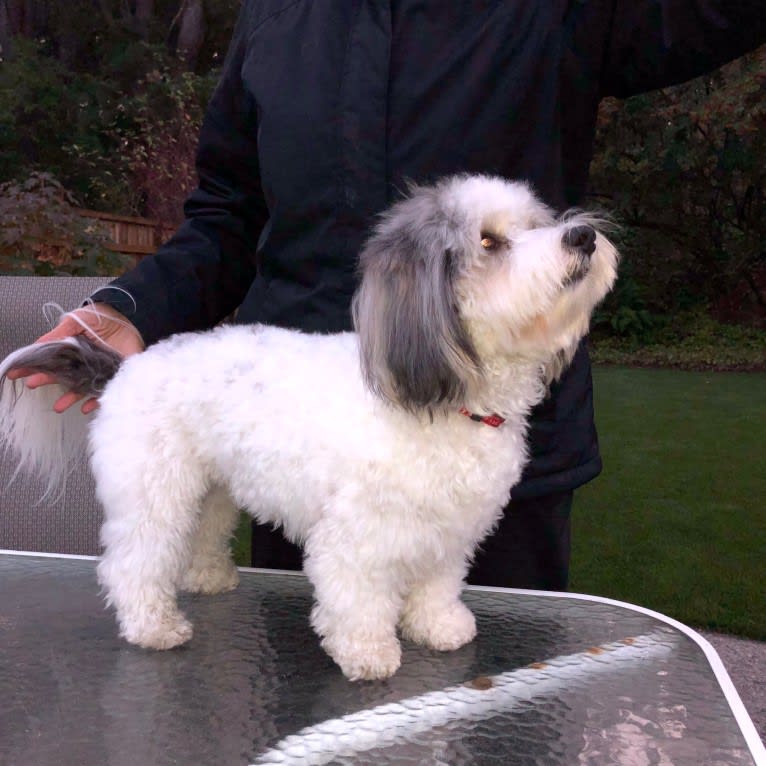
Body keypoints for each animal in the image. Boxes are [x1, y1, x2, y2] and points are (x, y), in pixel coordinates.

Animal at [0, 177, 616, 680]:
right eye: (489, 242)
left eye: (537, 223)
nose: (583, 235)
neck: (437, 400)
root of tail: (127, 367)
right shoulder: (356, 537)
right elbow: (359, 598)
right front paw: (369, 653)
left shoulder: (451, 528)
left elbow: (438, 583)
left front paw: (439, 626)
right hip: (153, 492)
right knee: (133, 563)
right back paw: (154, 626)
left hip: (212, 489)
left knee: (198, 535)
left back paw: (208, 577)